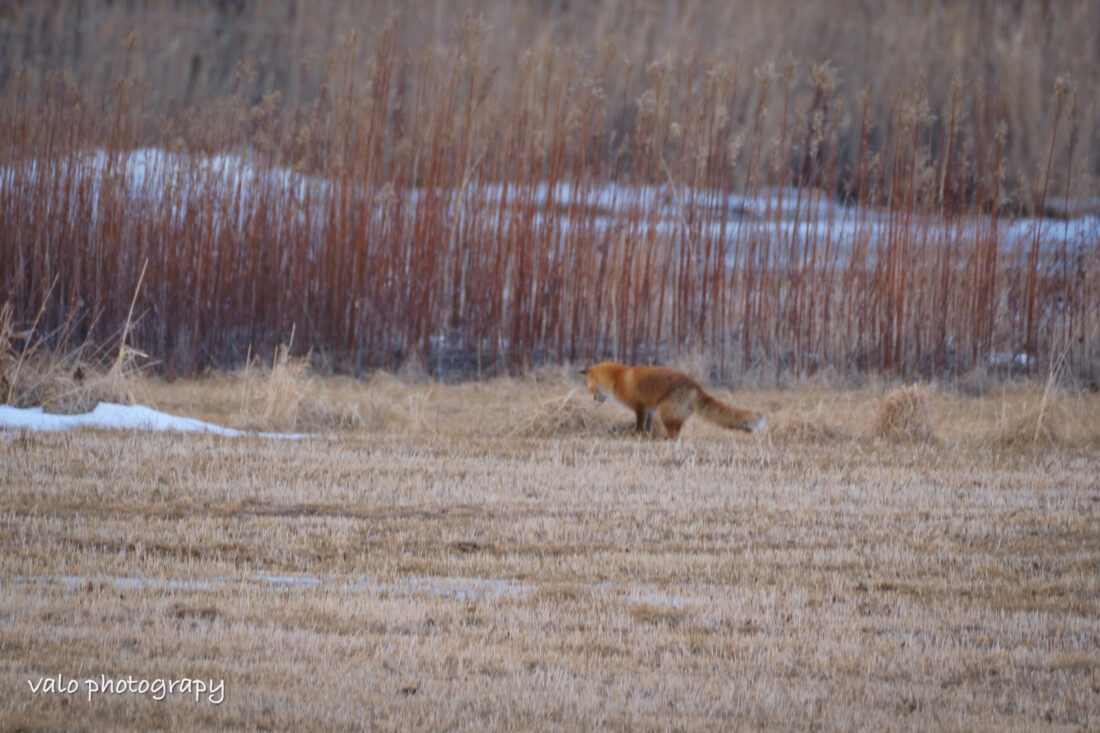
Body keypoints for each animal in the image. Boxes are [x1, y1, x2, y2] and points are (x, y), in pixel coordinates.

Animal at [585, 358, 765, 433]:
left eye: (591, 390)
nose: (593, 401)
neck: (617, 379)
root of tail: (694, 384)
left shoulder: (640, 407)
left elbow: (639, 425)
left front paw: (636, 435)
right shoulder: (649, 410)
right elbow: (646, 426)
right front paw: (645, 436)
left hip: (667, 414)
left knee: (673, 436)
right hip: (674, 416)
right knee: (677, 434)